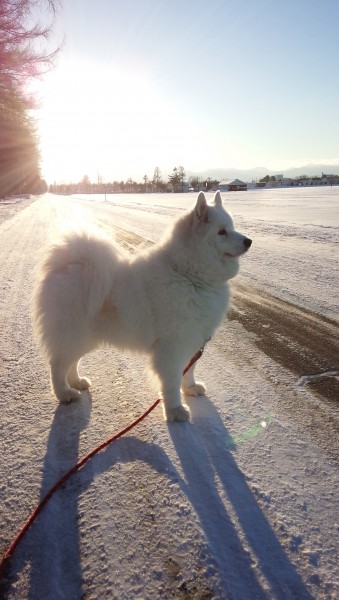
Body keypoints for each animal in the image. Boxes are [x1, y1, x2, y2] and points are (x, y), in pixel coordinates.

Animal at [33, 192, 252, 422]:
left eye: (232, 227)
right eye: (221, 232)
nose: (249, 241)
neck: (188, 274)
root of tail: (69, 264)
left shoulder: (193, 339)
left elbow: (189, 369)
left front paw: (190, 388)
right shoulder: (171, 346)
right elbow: (172, 381)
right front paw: (175, 410)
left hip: (84, 338)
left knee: (72, 362)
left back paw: (77, 382)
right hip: (74, 333)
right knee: (57, 365)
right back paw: (65, 393)